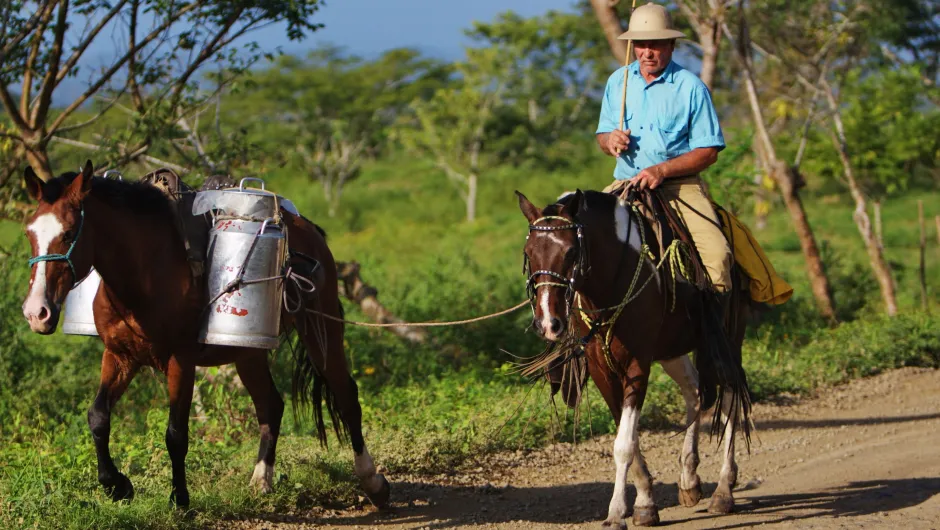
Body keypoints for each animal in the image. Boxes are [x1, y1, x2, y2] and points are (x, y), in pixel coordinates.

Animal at [21, 161, 390, 508]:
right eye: (29, 233)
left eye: (69, 233)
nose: (36, 312)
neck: (145, 273)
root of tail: (307, 228)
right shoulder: (120, 356)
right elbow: (97, 417)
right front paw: (117, 485)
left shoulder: (180, 361)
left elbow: (175, 433)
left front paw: (180, 499)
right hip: (248, 350)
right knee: (271, 405)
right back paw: (261, 480)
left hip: (320, 330)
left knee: (346, 395)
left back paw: (372, 481)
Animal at [516, 188, 752, 524]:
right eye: (529, 253)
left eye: (571, 252)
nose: (548, 323)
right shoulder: (601, 368)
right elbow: (628, 437)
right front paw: (644, 503)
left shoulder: (637, 363)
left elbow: (624, 445)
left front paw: (616, 514)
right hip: (671, 350)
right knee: (694, 391)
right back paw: (689, 479)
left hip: (727, 338)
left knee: (730, 397)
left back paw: (723, 490)